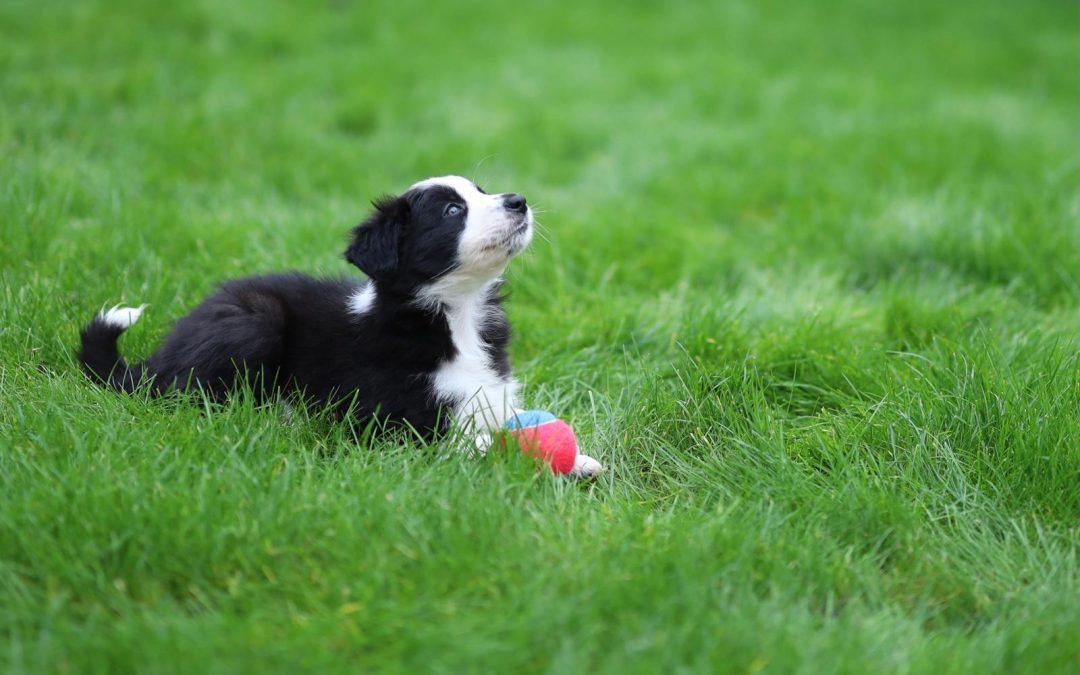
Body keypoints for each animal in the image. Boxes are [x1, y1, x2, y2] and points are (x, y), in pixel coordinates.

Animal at [82, 176, 609, 477]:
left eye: (482, 192)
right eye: (452, 210)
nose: (518, 200)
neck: (457, 315)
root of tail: (153, 362)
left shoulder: (491, 393)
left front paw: (581, 459)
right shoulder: (389, 420)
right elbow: (467, 438)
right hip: (254, 320)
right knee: (188, 394)